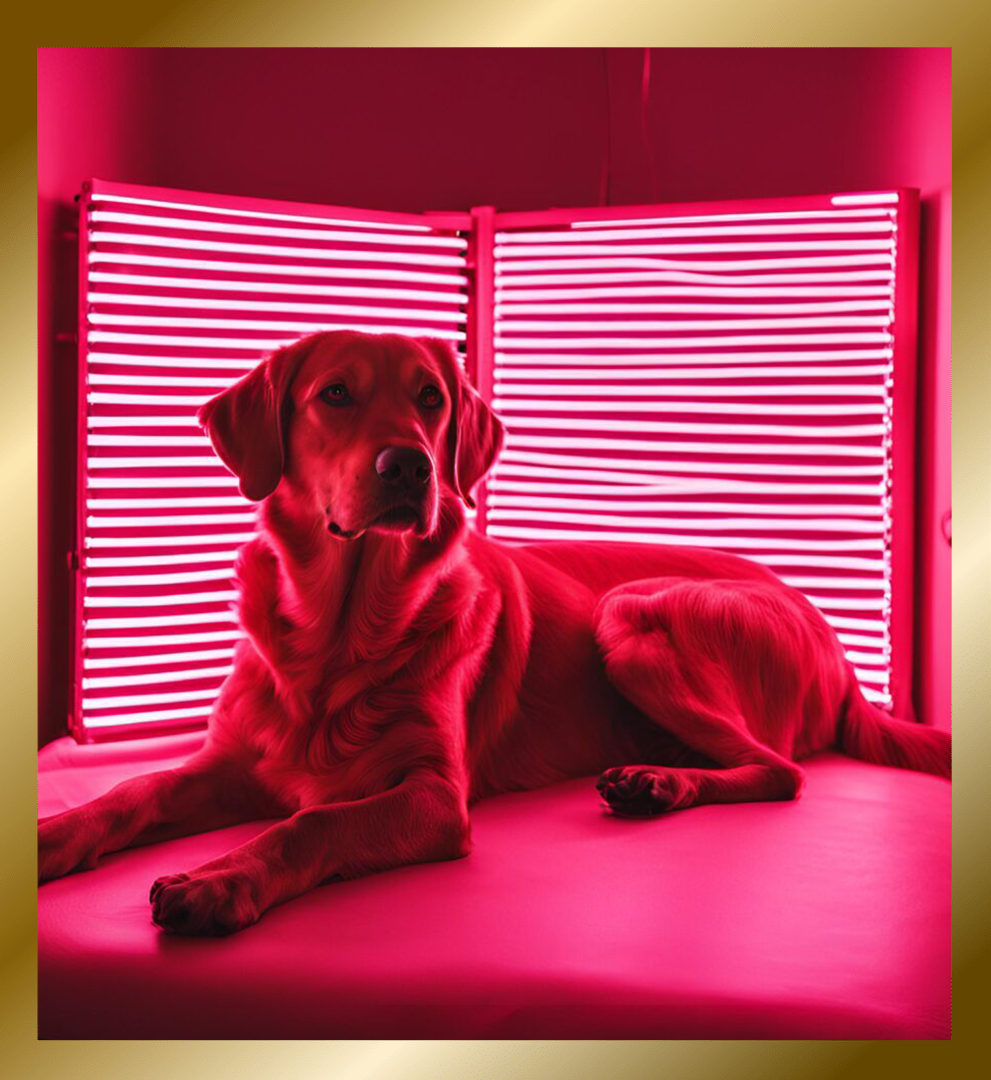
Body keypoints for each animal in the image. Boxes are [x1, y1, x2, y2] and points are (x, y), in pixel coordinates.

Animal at [38, 328, 954, 937]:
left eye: (430, 399)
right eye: (333, 394)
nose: (408, 465)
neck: (339, 633)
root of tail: (843, 657)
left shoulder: (434, 797)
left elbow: (312, 823)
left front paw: (220, 882)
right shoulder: (231, 764)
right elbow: (131, 790)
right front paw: (52, 836)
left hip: (631, 613)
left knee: (779, 773)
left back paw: (657, 785)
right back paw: (655, 777)